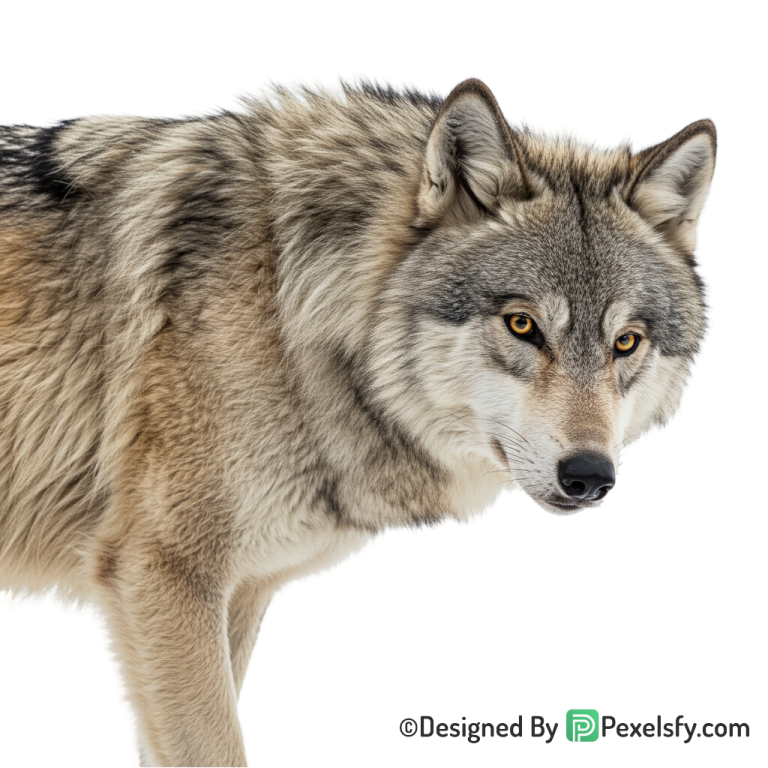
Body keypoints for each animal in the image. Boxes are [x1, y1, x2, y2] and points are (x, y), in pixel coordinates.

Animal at [0, 73, 717, 765]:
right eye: (522, 325)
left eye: (626, 342)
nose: (589, 475)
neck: (288, 304)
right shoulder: (161, 580)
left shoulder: (235, 597)